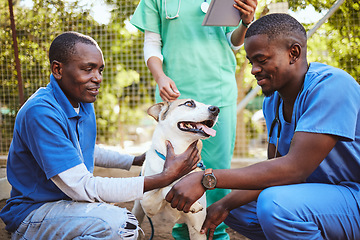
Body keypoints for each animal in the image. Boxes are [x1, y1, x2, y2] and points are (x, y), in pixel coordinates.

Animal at [131, 98, 218, 239]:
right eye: (189, 103)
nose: (216, 109)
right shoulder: (148, 204)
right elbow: (165, 189)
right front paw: (193, 204)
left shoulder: (197, 229)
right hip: (138, 210)